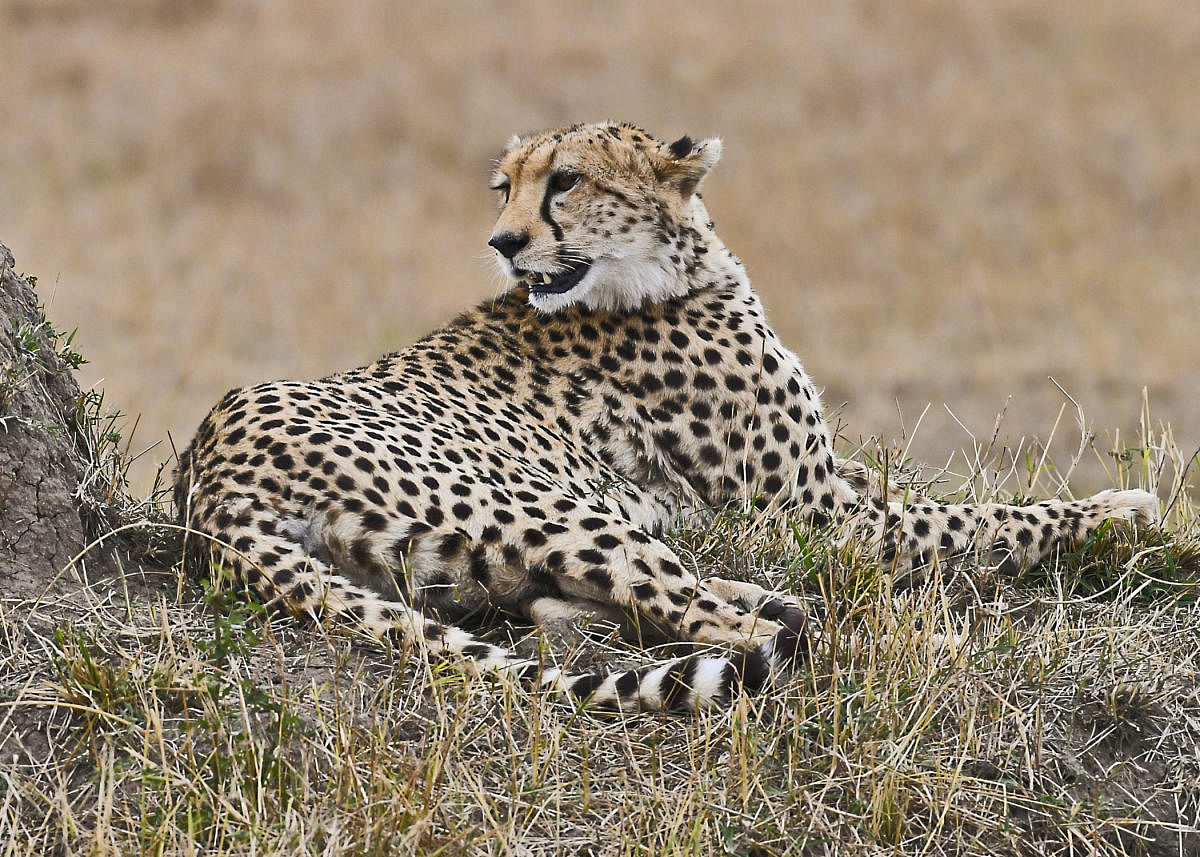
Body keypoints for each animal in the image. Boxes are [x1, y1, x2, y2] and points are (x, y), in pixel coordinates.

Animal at [174, 118, 1156, 705]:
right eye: (506, 188)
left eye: (565, 182)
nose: (503, 241)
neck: (672, 268)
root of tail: (207, 466)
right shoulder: (816, 511)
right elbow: (979, 516)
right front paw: (1121, 509)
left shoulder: (830, 487)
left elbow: (941, 499)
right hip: (549, 504)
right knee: (718, 625)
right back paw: (902, 645)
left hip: (465, 557)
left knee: (590, 606)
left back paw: (788, 601)